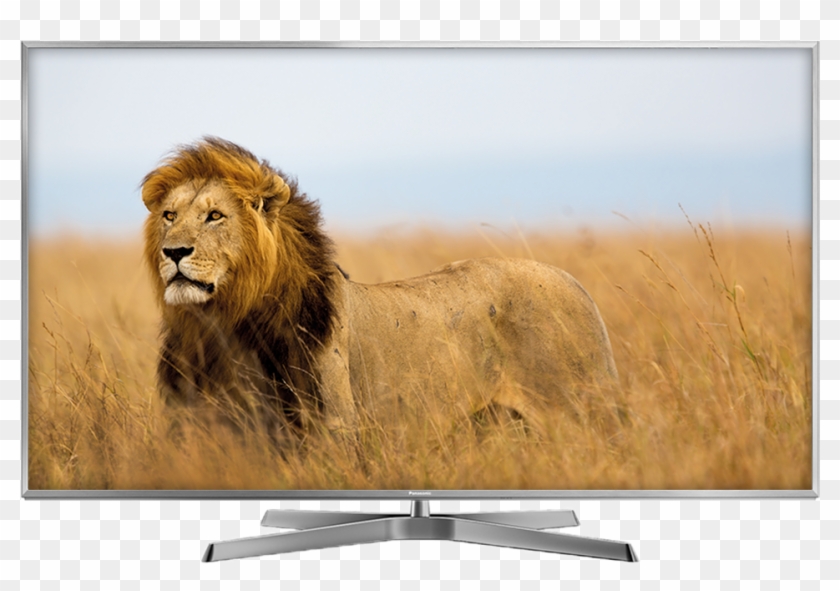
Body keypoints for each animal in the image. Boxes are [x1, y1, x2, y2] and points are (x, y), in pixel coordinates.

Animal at [141, 137, 618, 444]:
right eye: (169, 215)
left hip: (580, 414)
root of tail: (576, 284)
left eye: (215, 216)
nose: (174, 252)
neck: (222, 324)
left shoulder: (332, 428)